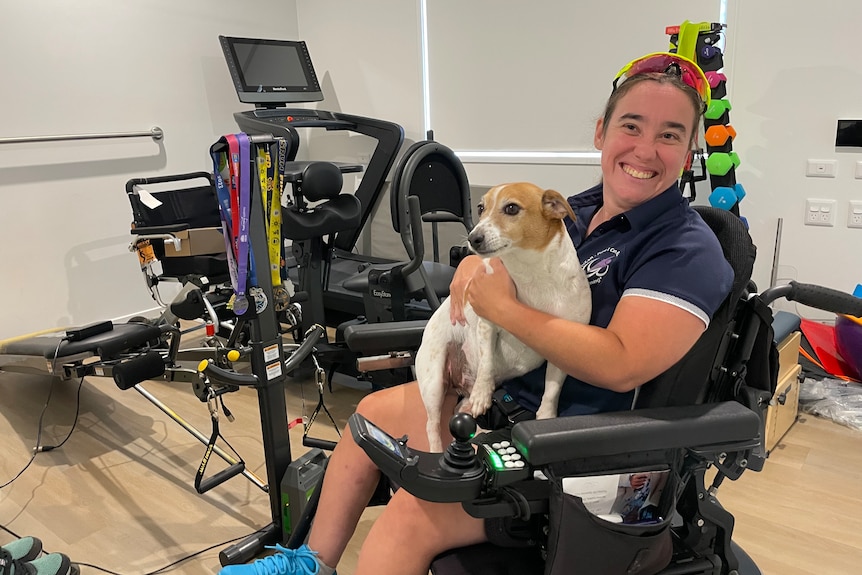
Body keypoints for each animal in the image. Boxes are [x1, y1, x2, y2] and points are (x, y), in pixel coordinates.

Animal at [416, 182, 592, 452]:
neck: (531, 275)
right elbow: (487, 363)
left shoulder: (562, 353)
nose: (473, 238)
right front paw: (483, 393)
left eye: (511, 208)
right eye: (480, 208)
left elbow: (552, 391)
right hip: (433, 380)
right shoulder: (487, 326)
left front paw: (546, 417)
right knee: (432, 425)